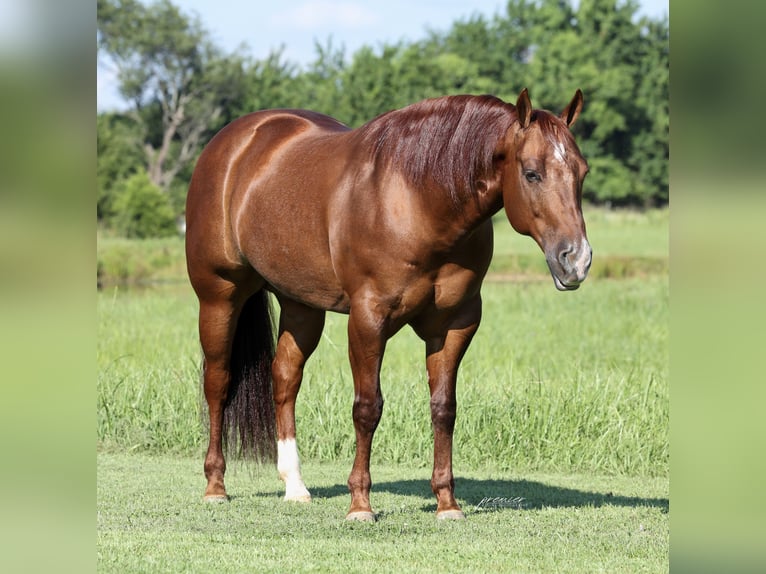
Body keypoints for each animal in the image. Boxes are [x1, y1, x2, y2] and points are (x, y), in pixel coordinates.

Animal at [185, 88, 591, 521]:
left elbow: (444, 408)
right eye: (532, 173)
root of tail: (234, 142)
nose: (577, 260)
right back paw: (215, 486)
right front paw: (360, 504)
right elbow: (367, 408)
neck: (418, 200)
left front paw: (447, 503)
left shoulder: (456, 324)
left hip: (301, 306)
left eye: (582, 173)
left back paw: (294, 485)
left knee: (285, 379)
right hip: (219, 296)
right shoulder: (368, 320)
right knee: (218, 382)